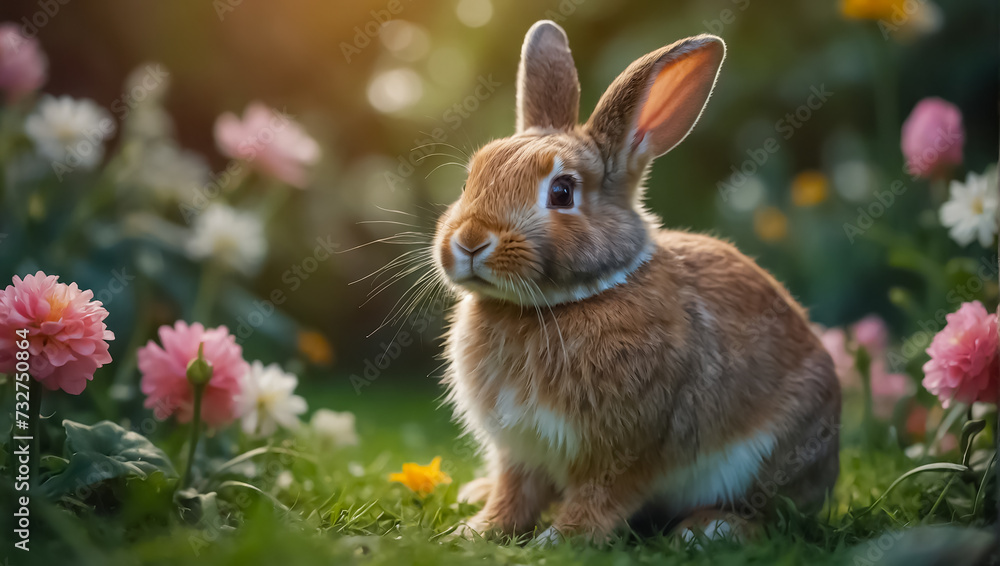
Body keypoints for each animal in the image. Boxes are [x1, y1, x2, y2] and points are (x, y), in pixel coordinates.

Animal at [433, 20, 841, 543]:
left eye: (561, 192)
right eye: (471, 179)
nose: (469, 241)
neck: (566, 300)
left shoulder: (625, 450)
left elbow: (601, 497)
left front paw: (560, 538)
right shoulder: (519, 450)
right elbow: (512, 493)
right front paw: (477, 530)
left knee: (772, 517)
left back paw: (710, 528)